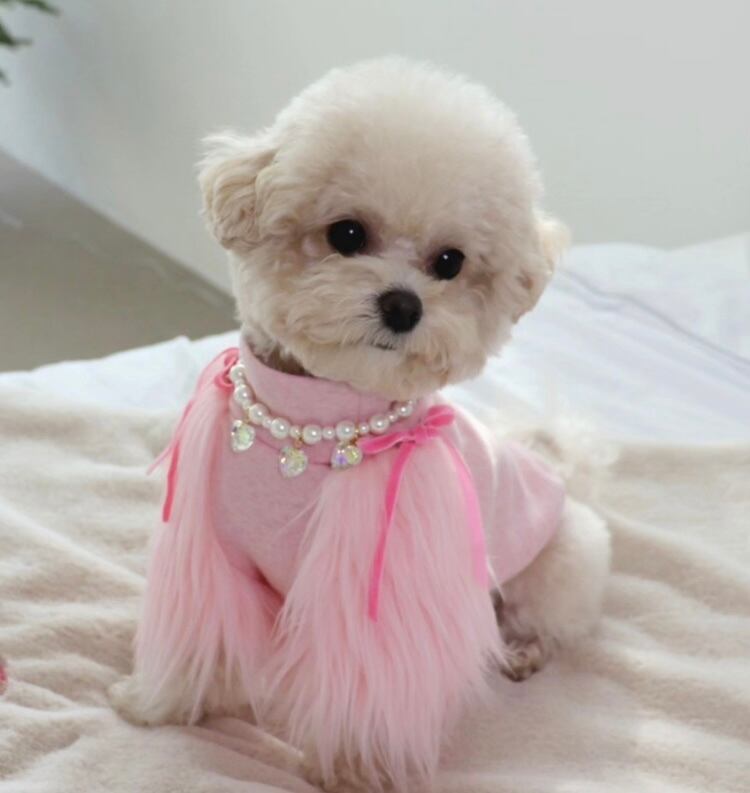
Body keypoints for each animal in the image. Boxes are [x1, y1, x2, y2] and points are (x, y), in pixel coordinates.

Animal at [111, 58, 610, 792]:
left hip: (557, 564)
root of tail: (557, 471)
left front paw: (356, 769)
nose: (404, 305)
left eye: (450, 262)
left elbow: (369, 686)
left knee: (543, 623)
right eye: (346, 234)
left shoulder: (382, 585)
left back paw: (519, 652)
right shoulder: (213, 551)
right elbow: (200, 631)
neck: (304, 430)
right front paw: (161, 704)